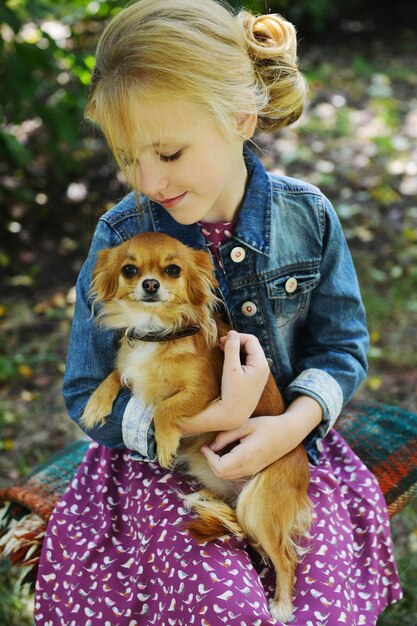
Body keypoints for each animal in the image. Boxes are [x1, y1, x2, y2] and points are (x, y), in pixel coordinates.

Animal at [81, 230, 310, 620]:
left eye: (173, 270)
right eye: (130, 269)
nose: (150, 283)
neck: (156, 330)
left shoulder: (205, 391)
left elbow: (165, 408)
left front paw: (165, 442)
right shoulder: (130, 365)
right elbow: (116, 374)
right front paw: (96, 404)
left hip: (259, 505)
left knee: (286, 558)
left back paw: (281, 604)